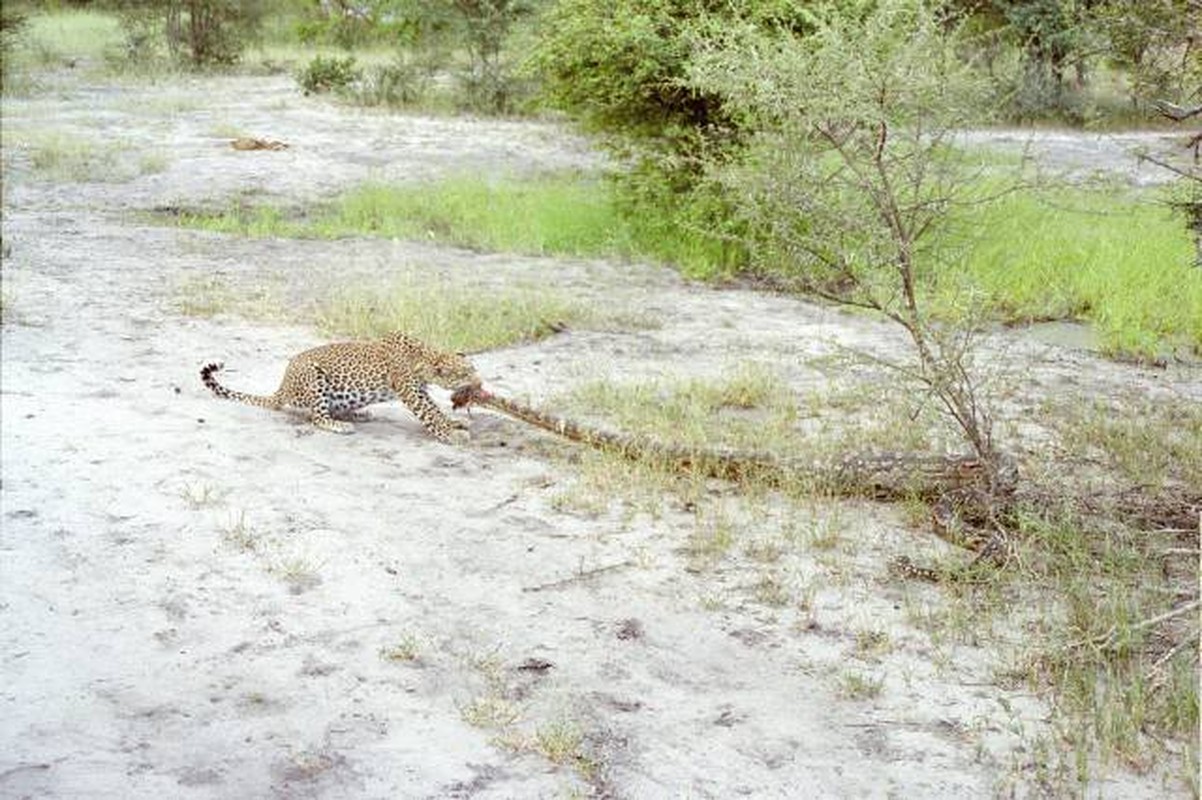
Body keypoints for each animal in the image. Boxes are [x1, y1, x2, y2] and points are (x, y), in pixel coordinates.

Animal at [200, 329, 478, 442]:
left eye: (473, 368)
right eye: (465, 373)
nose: (479, 381)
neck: (425, 358)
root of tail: (282, 387)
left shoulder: (418, 389)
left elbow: (436, 410)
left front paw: (454, 424)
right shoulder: (411, 391)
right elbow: (430, 414)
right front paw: (452, 434)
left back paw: (359, 414)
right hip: (313, 376)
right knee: (317, 417)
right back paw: (341, 425)